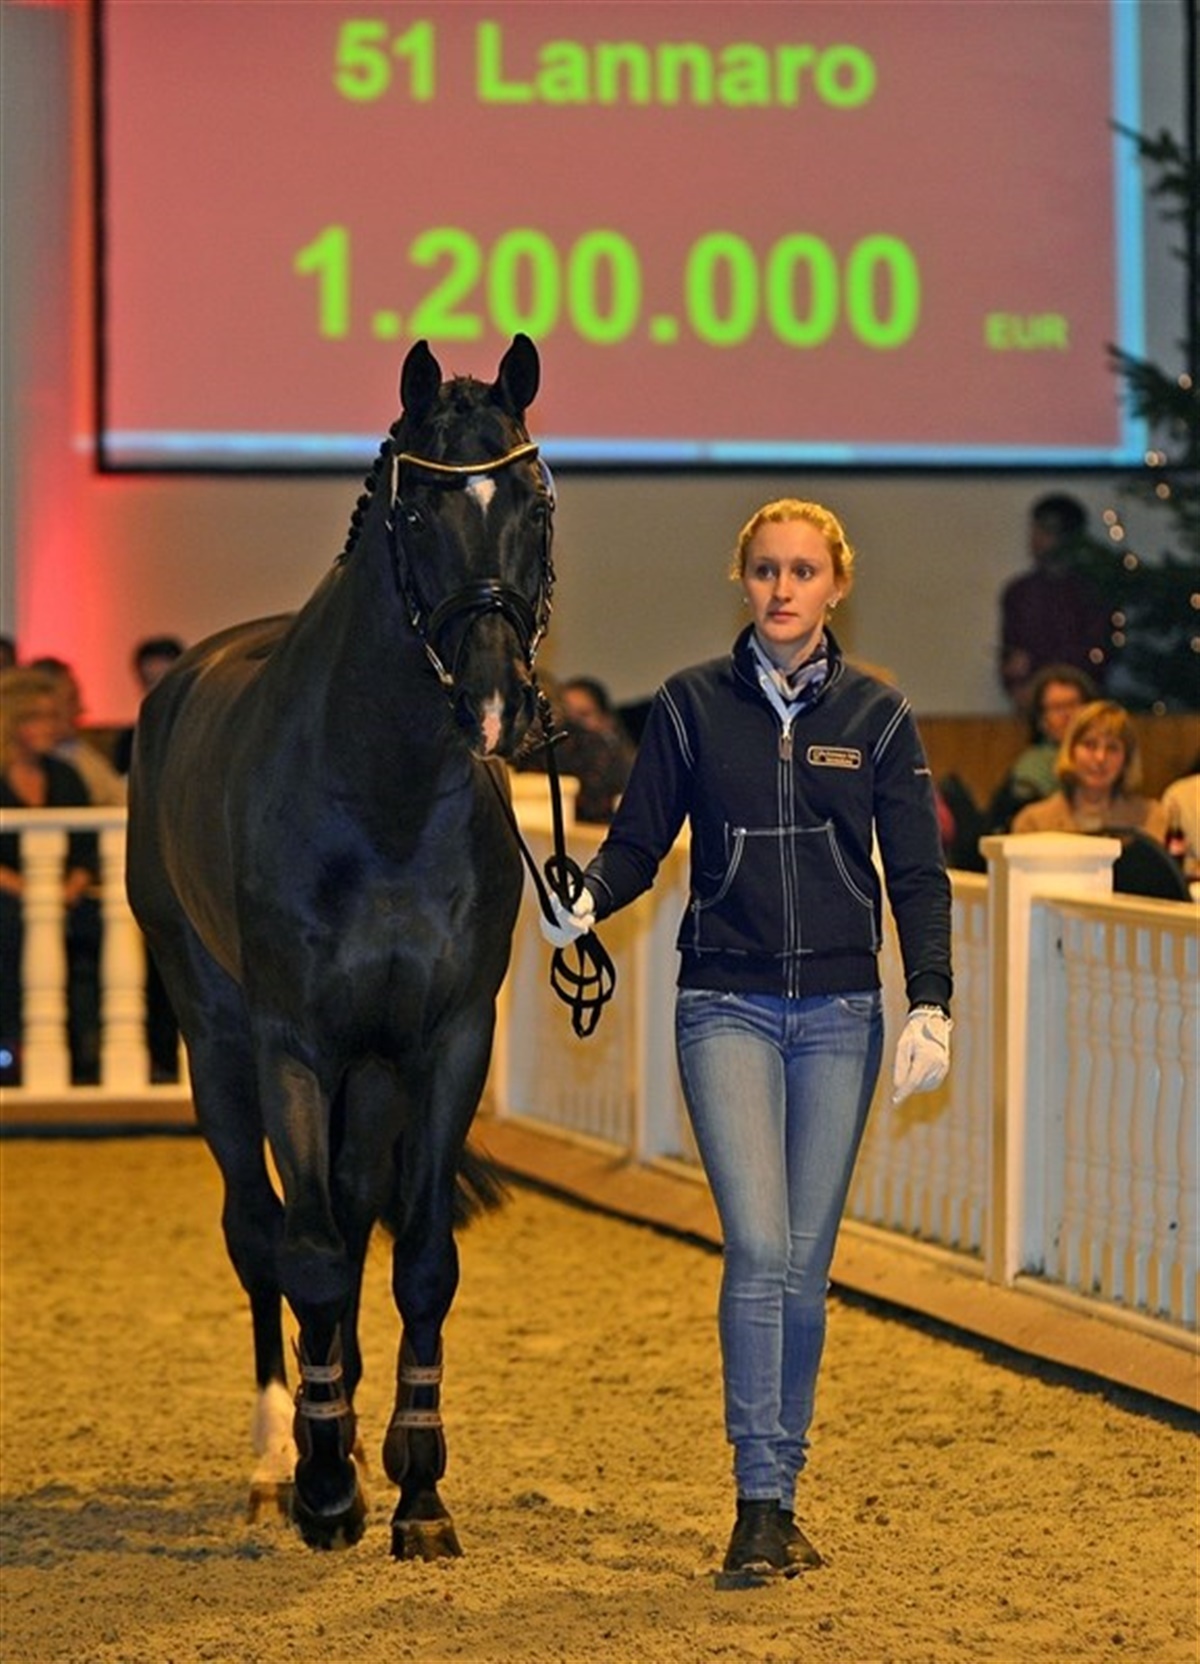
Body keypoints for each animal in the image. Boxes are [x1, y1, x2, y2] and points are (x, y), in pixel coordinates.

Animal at [126, 334, 554, 1558]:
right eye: (416, 511)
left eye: (535, 503)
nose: (497, 702)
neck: (386, 802)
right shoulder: (295, 1046)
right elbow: (306, 1250)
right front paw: (323, 1487)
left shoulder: (447, 1041)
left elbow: (417, 1257)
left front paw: (415, 1489)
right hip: (217, 1041)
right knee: (260, 1227)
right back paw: (285, 1451)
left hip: (374, 1075)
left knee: (354, 1214)